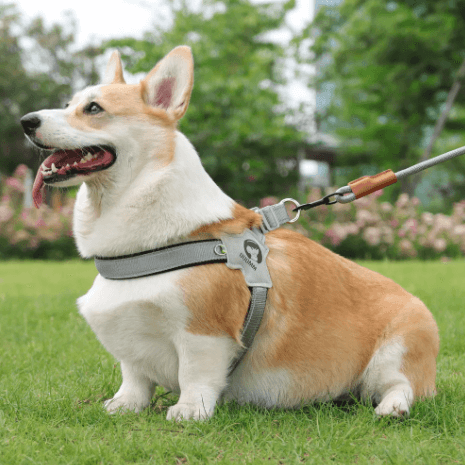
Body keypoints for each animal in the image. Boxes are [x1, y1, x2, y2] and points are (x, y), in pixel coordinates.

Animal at [19, 47, 438, 420]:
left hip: (396, 349)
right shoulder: (131, 340)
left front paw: (189, 411)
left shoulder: (203, 334)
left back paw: (393, 408)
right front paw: (124, 405)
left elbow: (195, 375)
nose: (25, 121)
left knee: (400, 386)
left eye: (94, 109)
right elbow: (134, 377)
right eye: (70, 103)